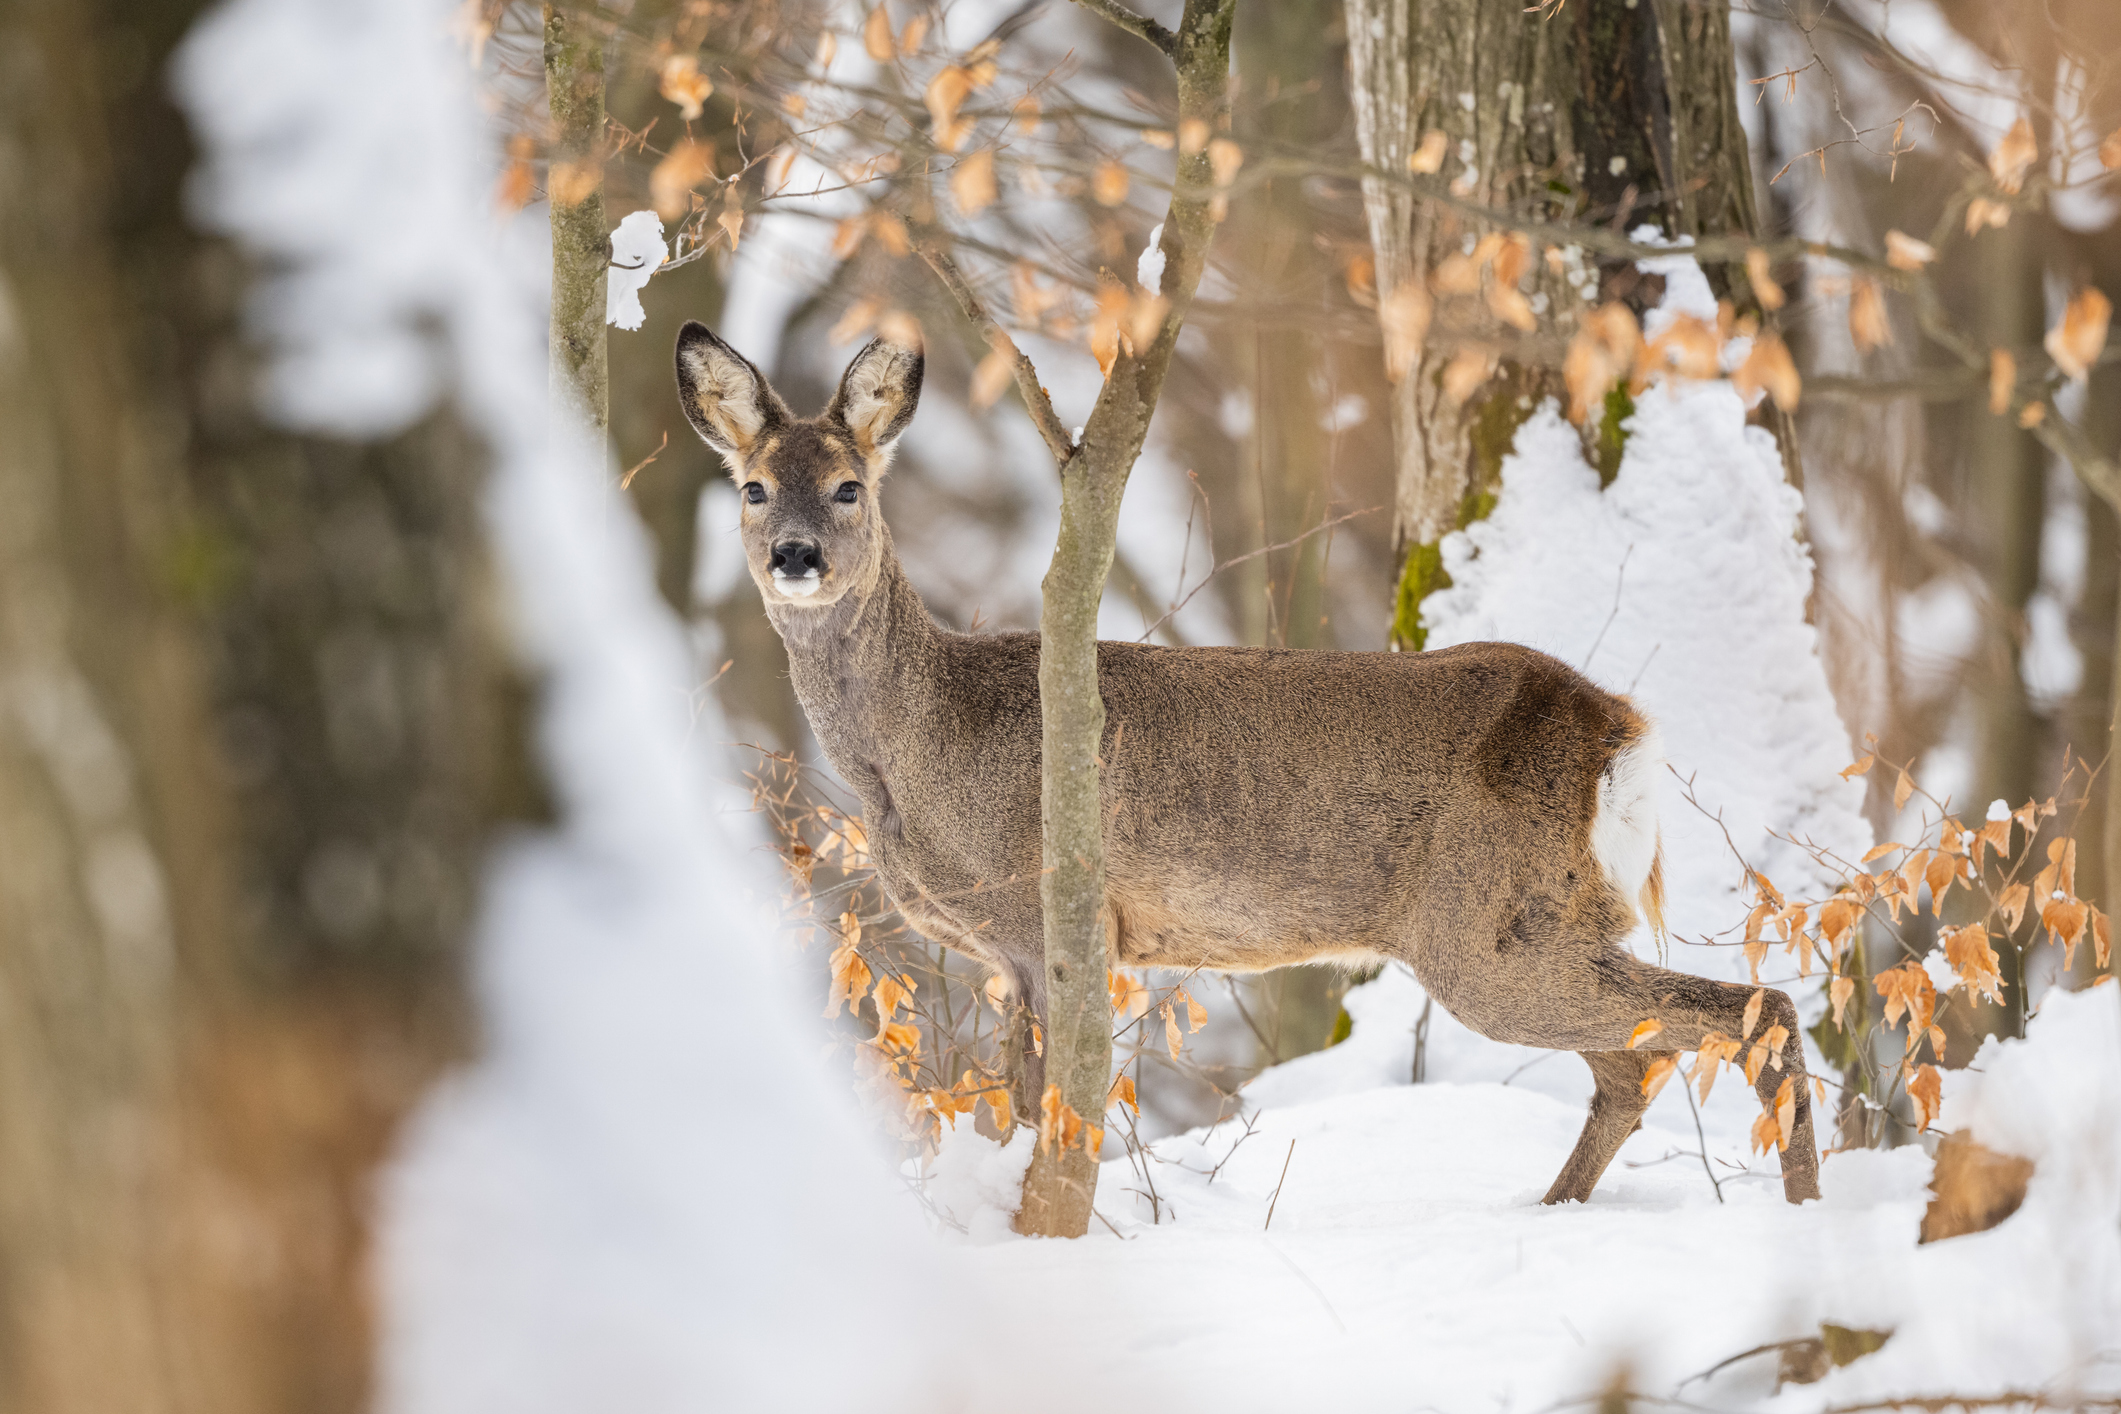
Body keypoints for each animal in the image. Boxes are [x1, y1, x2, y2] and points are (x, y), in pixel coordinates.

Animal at [674, 324, 1824, 1204]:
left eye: (848, 487)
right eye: (753, 488)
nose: (794, 556)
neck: (916, 752)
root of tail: (1617, 727)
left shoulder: (1049, 916)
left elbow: (1047, 1104)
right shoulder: (1008, 950)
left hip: (1490, 929)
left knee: (1749, 1012)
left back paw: (1804, 1213)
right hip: (1545, 921)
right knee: (1639, 1063)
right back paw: (1556, 1213)